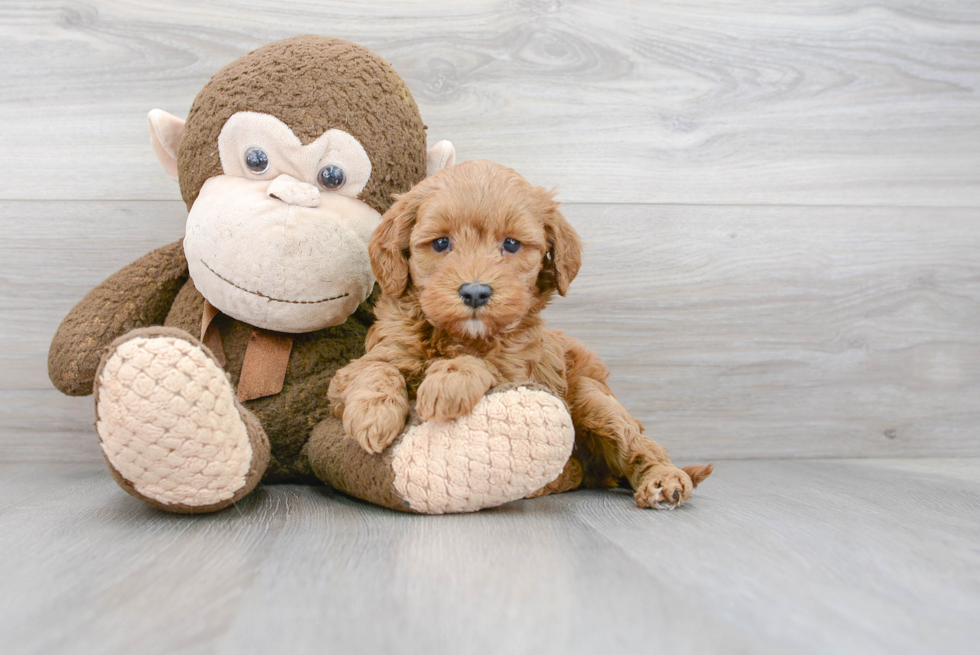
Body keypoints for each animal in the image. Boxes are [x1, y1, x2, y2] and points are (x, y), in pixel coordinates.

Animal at [330, 161, 712, 510]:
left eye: (511, 244)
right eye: (441, 243)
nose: (475, 293)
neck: (458, 336)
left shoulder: (519, 372)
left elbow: (483, 366)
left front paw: (448, 382)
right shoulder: (366, 362)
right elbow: (376, 369)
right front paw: (372, 414)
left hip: (593, 398)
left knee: (637, 444)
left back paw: (664, 480)